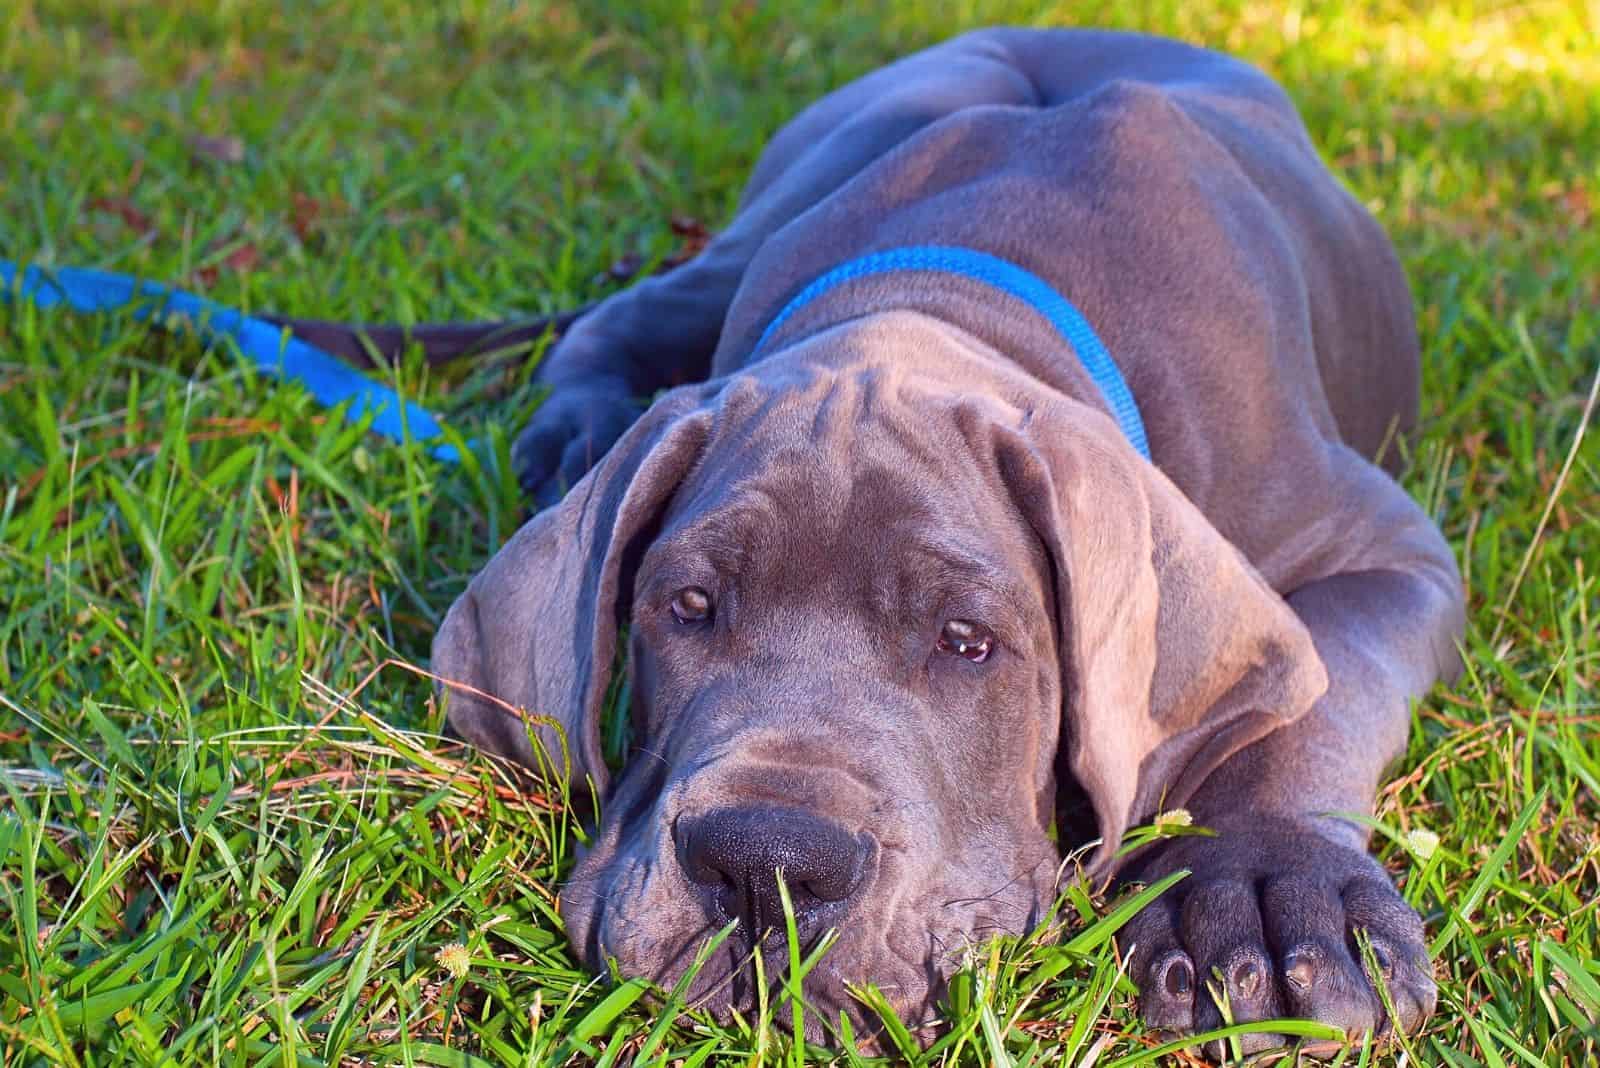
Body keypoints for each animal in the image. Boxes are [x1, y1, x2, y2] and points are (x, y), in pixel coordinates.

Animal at [422, 29, 1465, 1055]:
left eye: (967, 641)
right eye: (688, 605)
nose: (767, 864)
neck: (960, 286)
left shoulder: (1389, 548)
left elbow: (1325, 697)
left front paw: (1270, 890)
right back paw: (577, 426)